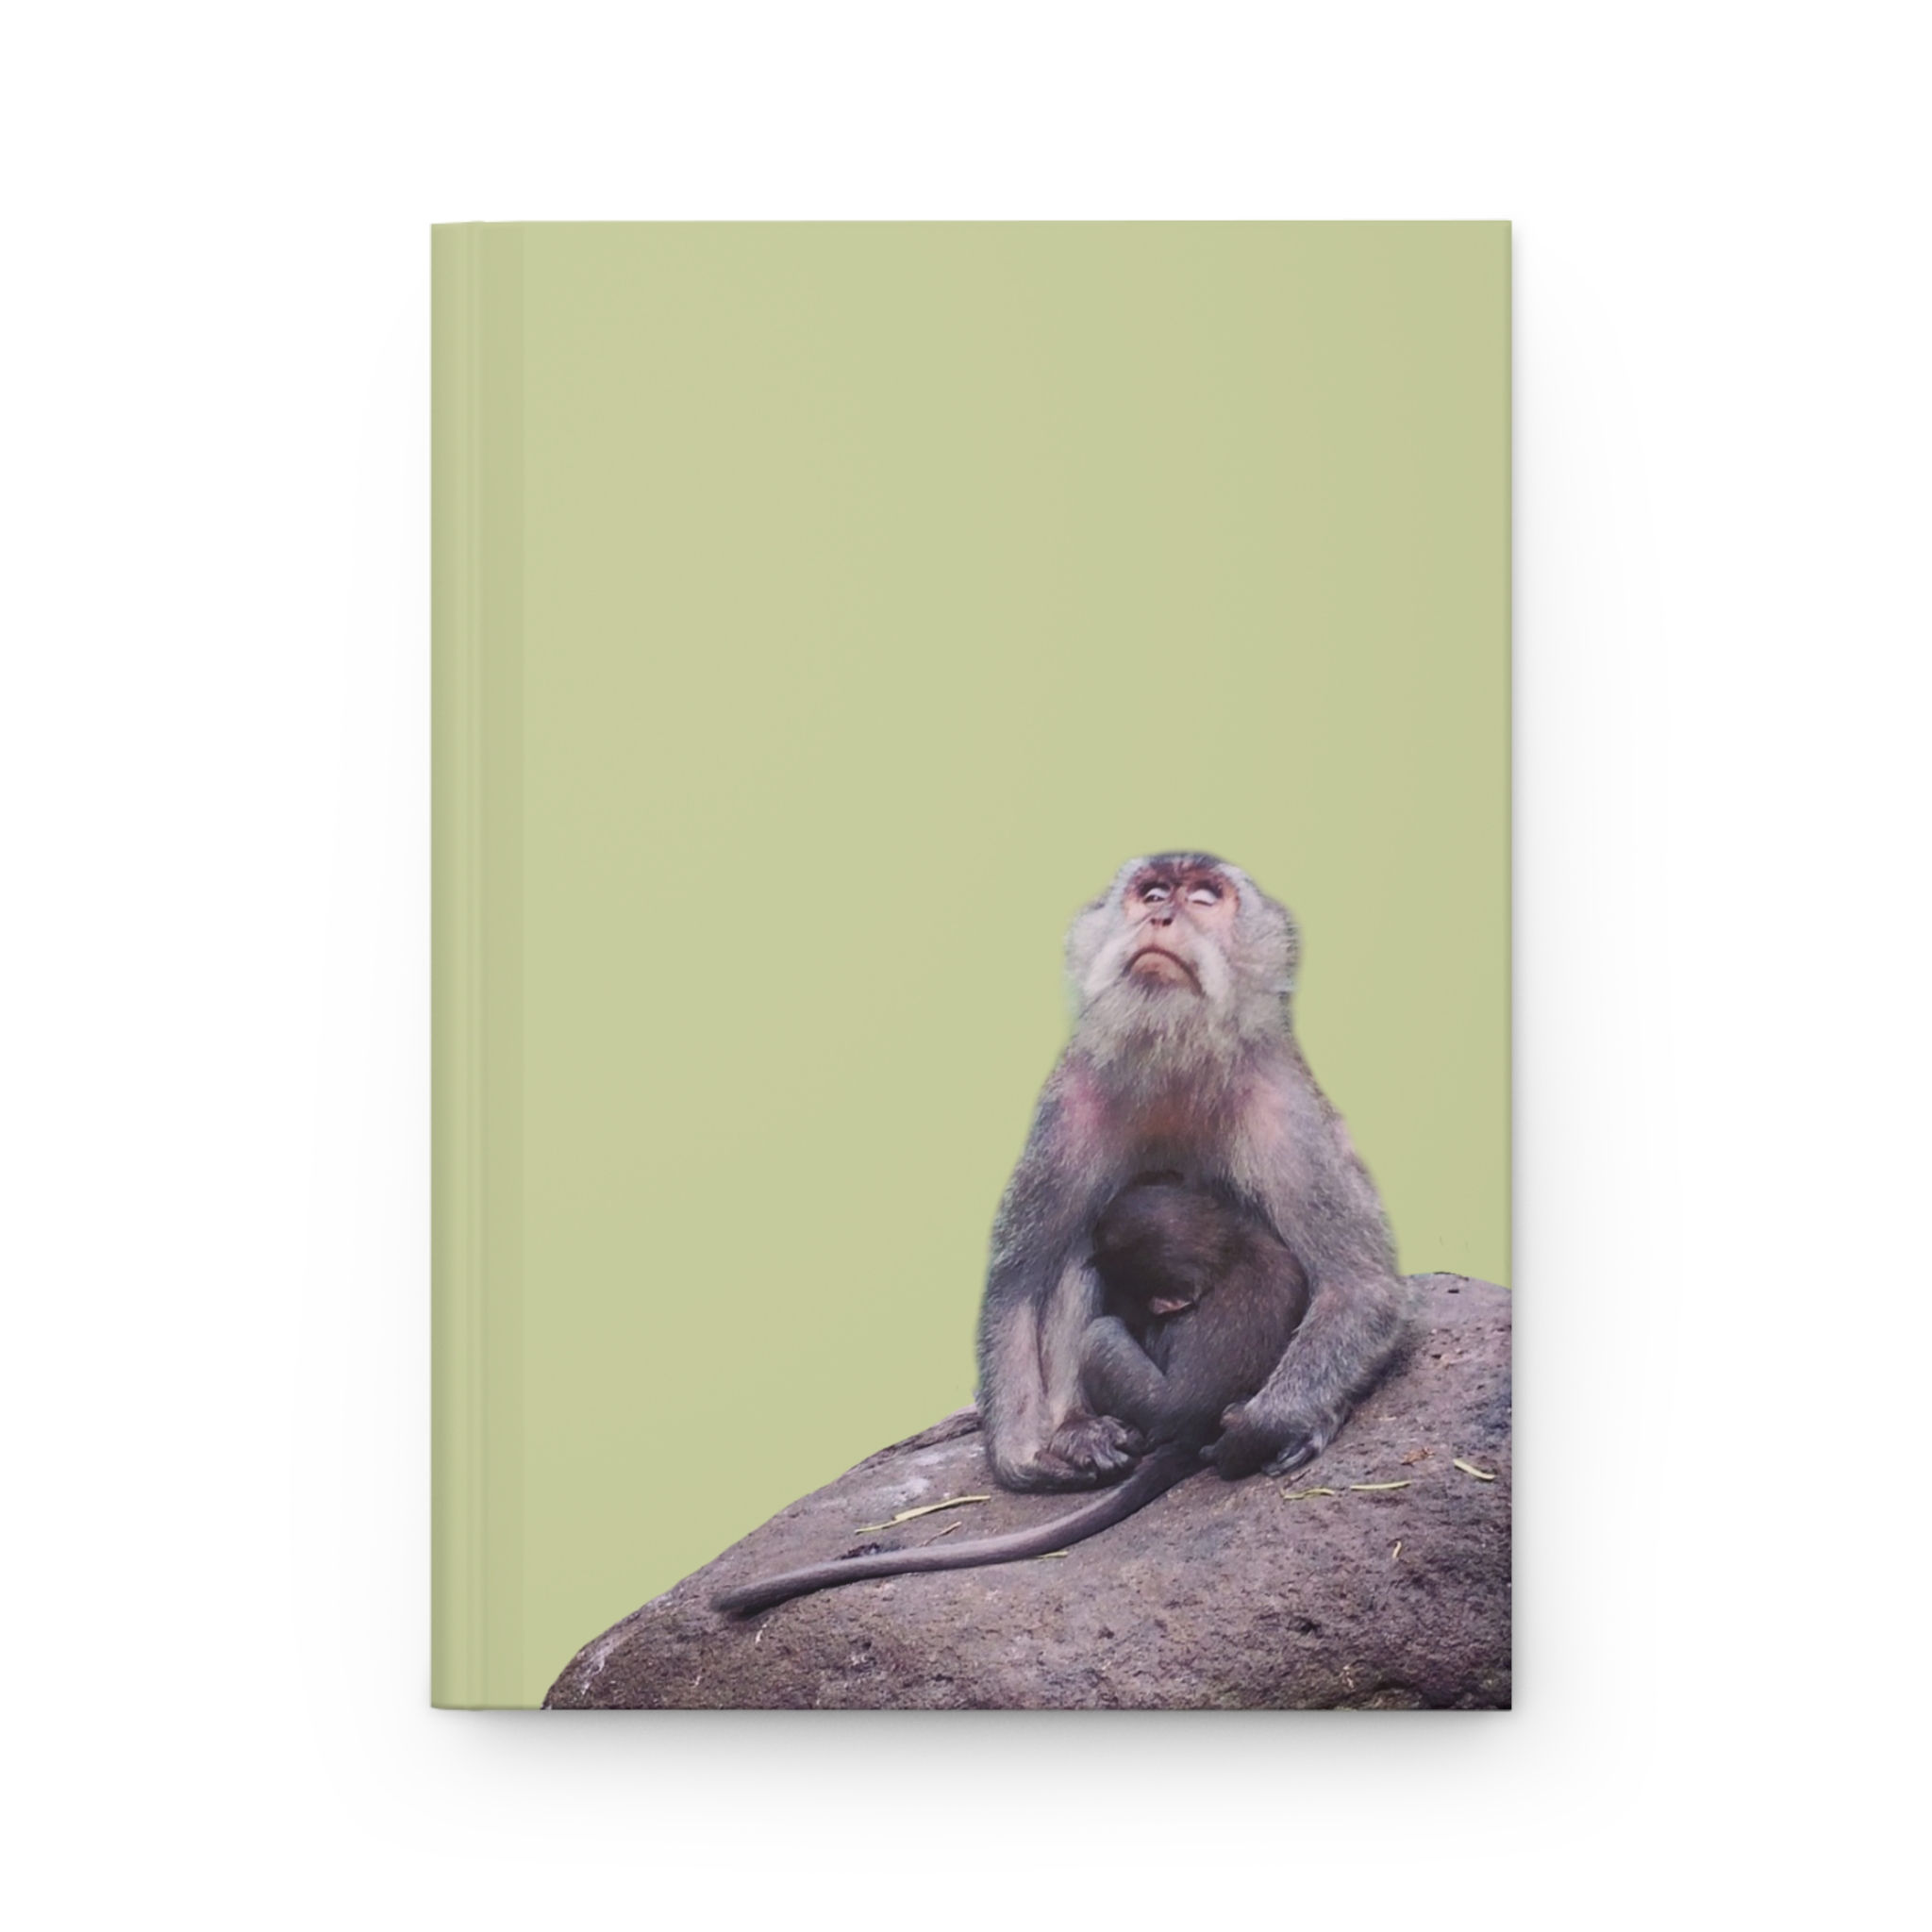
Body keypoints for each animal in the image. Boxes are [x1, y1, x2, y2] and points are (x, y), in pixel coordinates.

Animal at [976, 853, 1412, 1493]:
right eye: (1153, 893)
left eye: (1205, 898)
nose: (1161, 916)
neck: (1174, 1055)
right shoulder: (1069, 1105)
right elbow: (1018, 1282)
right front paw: (1022, 1454)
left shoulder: (1287, 1113)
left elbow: (1363, 1290)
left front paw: (1261, 1427)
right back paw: (1081, 1426)